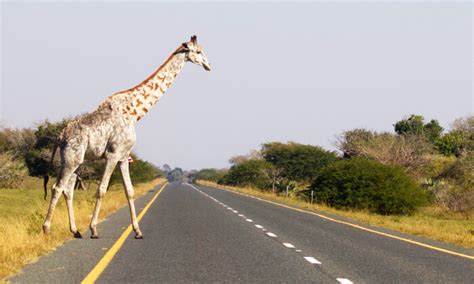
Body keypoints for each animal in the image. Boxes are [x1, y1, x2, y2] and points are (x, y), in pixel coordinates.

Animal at [44, 36, 211, 240]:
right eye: (198, 51)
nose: (208, 65)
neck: (134, 113)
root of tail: (60, 136)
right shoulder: (113, 154)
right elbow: (101, 189)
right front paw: (94, 230)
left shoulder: (124, 156)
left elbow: (129, 191)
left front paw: (138, 231)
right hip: (71, 159)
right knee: (57, 187)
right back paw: (46, 229)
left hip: (76, 160)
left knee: (67, 190)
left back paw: (75, 231)